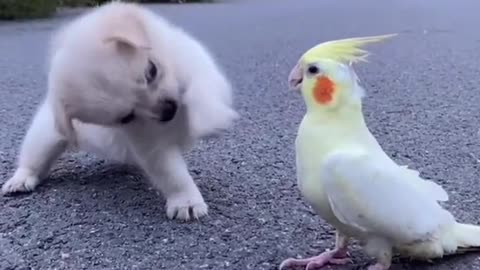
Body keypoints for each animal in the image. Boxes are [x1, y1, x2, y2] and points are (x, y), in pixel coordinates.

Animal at [1, 2, 238, 221]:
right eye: (127, 117)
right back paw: (20, 180)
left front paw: (210, 121)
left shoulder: (199, 65)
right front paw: (186, 201)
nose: (169, 111)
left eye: (151, 70)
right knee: (33, 160)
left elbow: (200, 89)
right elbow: (173, 174)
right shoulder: (151, 144)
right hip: (44, 138)